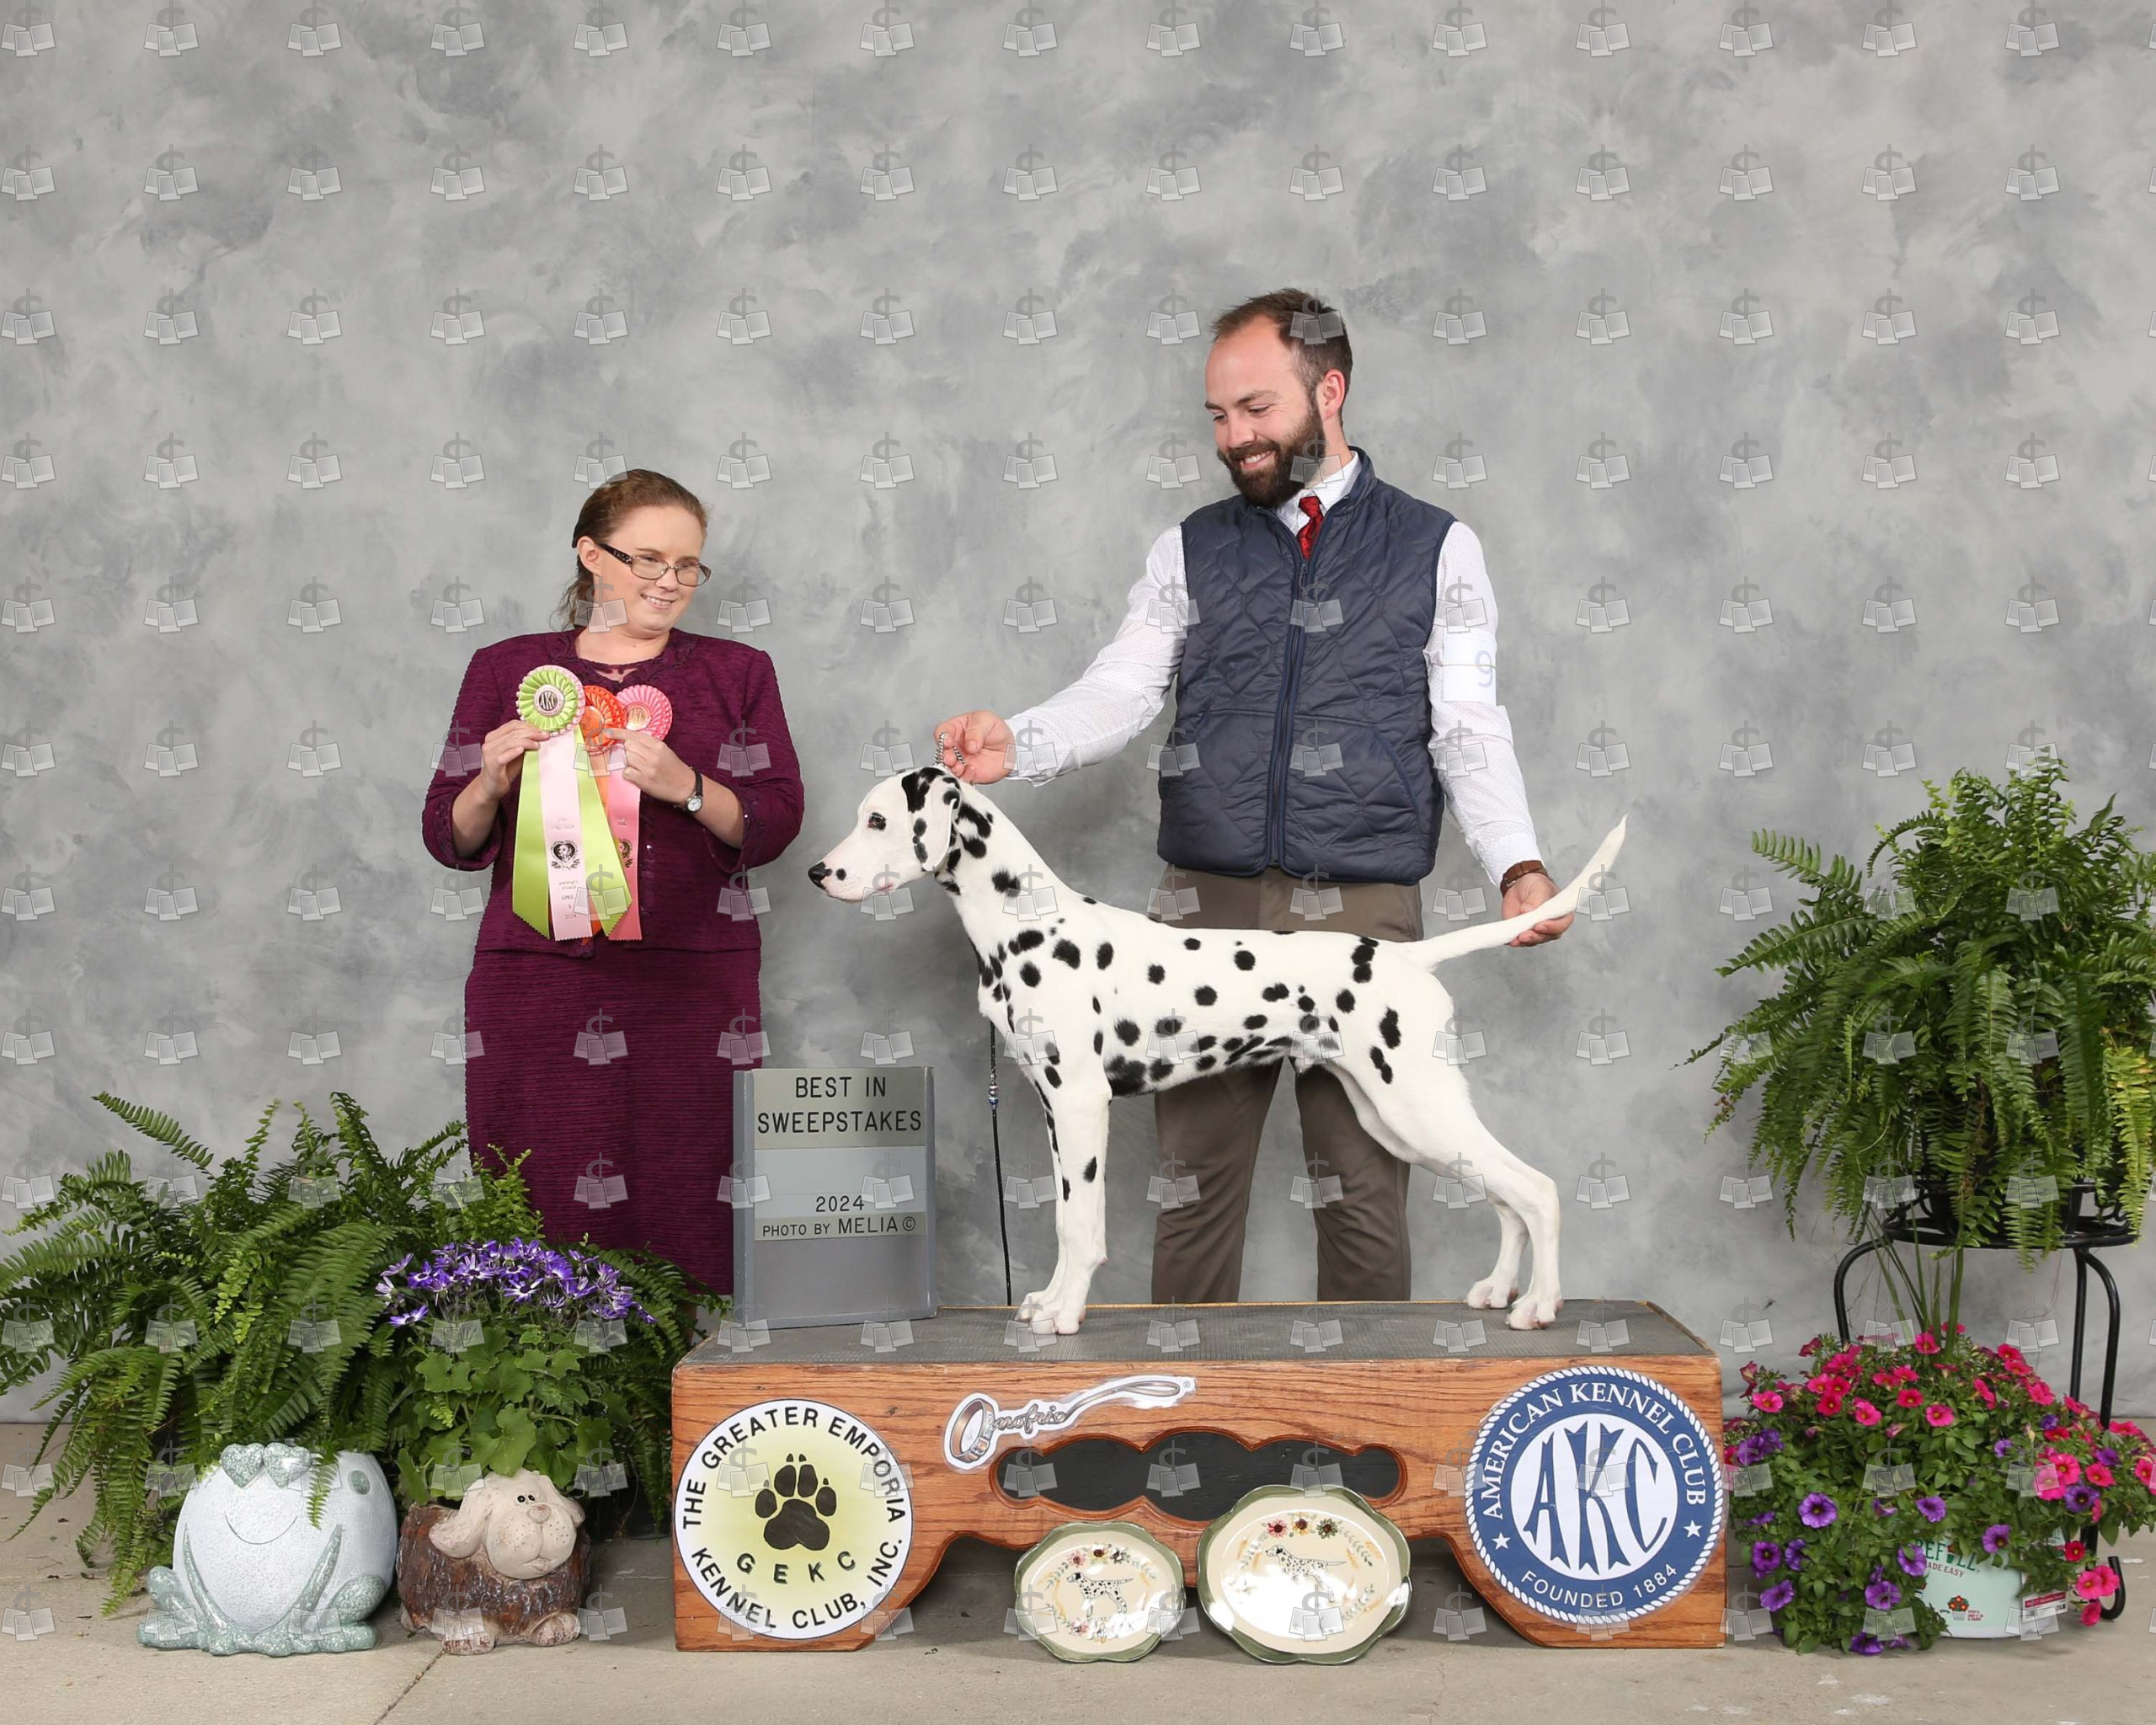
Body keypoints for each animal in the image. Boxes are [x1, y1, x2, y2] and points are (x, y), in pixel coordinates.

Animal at [808, 764, 1626, 1337]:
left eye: (877, 819)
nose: (819, 872)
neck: (1027, 921)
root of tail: (1407, 957)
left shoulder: (1081, 1103)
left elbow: (1081, 1224)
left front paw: (1066, 1314)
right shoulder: (1052, 1110)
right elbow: (1068, 1217)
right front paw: (1047, 1299)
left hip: (1418, 1107)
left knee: (1535, 1190)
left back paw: (1540, 1305)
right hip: (1398, 1120)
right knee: (1506, 1198)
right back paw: (1496, 1292)